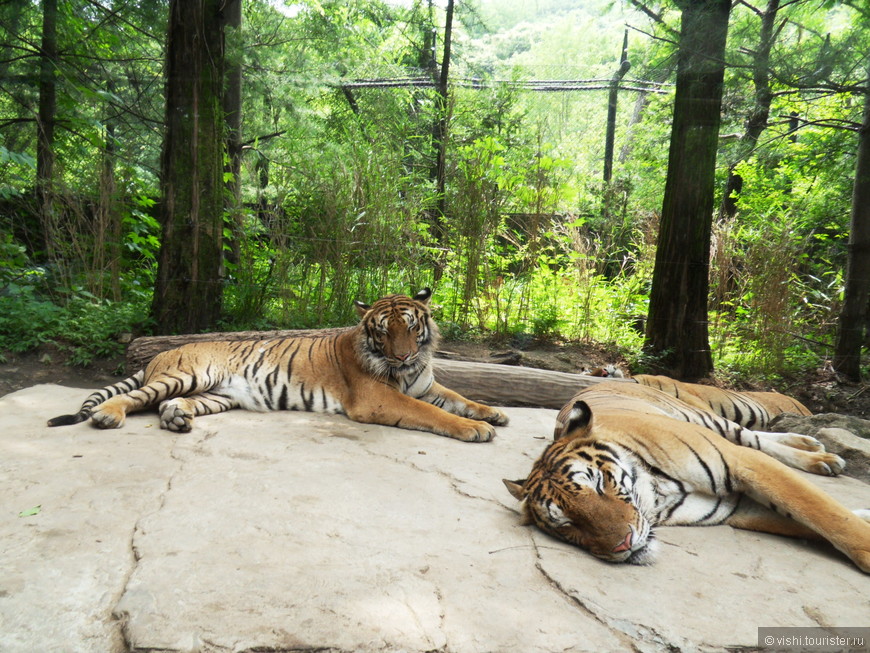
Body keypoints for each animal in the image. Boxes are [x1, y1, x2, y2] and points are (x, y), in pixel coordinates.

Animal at [46, 288, 510, 440]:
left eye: (412, 328)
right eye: (383, 331)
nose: (403, 355)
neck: (408, 370)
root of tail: (160, 352)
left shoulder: (424, 383)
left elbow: (459, 397)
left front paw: (494, 413)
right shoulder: (378, 398)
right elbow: (432, 413)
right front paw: (474, 429)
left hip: (217, 395)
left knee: (164, 405)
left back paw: (177, 419)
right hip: (188, 374)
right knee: (137, 398)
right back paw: (108, 416)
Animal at [504, 376, 870, 572]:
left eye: (597, 483)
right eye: (566, 523)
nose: (622, 545)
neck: (657, 495)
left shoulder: (744, 464)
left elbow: (827, 515)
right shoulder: (740, 508)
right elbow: (811, 522)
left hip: (708, 419)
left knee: (751, 435)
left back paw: (818, 452)